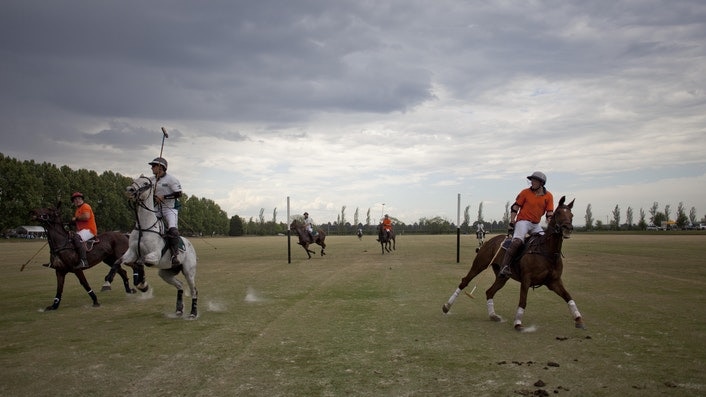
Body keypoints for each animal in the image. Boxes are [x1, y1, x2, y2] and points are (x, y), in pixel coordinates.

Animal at [116, 175, 198, 318]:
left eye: (145, 183)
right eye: (134, 180)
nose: (129, 190)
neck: (143, 227)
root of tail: (190, 244)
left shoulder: (154, 256)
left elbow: (141, 262)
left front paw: (143, 284)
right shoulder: (131, 252)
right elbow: (121, 262)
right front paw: (141, 284)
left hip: (189, 271)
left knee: (194, 290)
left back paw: (193, 313)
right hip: (165, 272)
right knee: (180, 285)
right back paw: (179, 309)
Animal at [440, 196, 584, 332]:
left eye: (572, 215)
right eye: (558, 212)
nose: (568, 228)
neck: (547, 252)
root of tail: (489, 240)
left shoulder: (554, 281)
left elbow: (568, 297)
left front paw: (578, 319)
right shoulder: (526, 279)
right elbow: (523, 301)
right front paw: (518, 323)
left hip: (502, 276)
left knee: (489, 291)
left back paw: (493, 315)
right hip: (480, 264)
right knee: (465, 281)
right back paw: (447, 306)